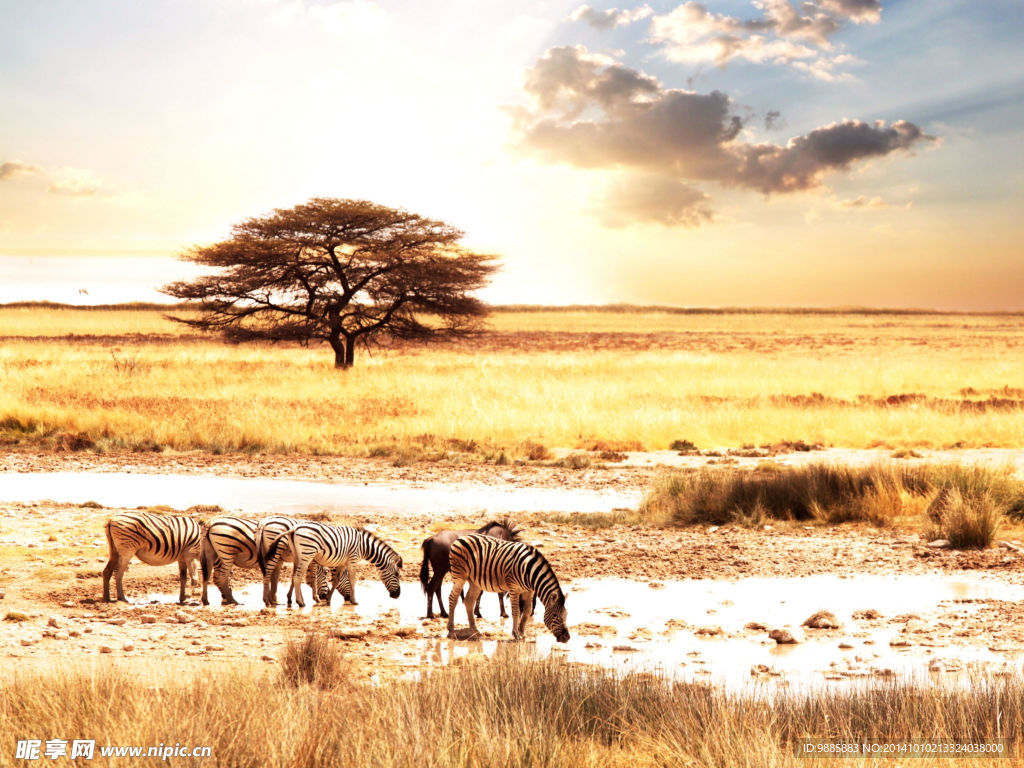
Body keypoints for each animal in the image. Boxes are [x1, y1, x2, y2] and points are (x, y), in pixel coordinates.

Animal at [197, 520, 350, 610]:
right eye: (326, 574)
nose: (324, 596)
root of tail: (210, 523)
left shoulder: (290, 558)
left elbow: (283, 578)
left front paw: (282, 598)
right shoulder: (307, 557)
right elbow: (310, 575)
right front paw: (314, 597)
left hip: (212, 553)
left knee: (207, 575)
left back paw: (207, 600)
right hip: (227, 552)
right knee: (220, 577)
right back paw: (232, 600)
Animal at [258, 524, 401, 614]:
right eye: (397, 575)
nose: (397, 595)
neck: (364, 546)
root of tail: (293, 529)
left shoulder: (343, 562)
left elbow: (336, 580)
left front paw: (328, 599)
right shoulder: (353, 560)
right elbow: (352, 580)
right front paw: (354, 600)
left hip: (298, 555)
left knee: (294, 577)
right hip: (307, 553)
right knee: (296, 577)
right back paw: (300, 602)